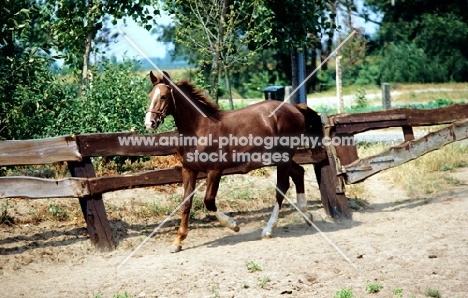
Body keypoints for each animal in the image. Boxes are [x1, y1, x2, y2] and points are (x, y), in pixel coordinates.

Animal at [146, 71, 322, 253]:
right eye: (150, 96)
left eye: (164, 96)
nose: (149, 123)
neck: (199, 129)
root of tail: (296, 108)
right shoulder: (188, 169)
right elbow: (186, 203)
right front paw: (177, 241)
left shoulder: (215, 171)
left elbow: (209, 201)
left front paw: (233, 225)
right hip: (279, 157)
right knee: (299, 172)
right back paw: (307, 215)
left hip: (284, 156)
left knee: (282, 187)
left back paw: (268, 229)